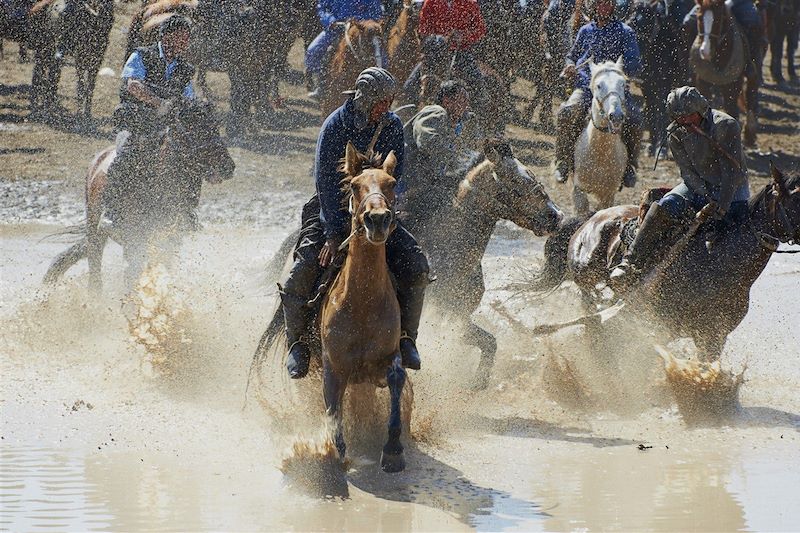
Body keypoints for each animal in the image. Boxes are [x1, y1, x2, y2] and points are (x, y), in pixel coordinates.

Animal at [42, 102, 234, 294]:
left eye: (215, 125)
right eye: (194, 128)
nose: (228, 166)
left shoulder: (169, 242)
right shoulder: (134, 240)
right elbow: (131, 278)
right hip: (95, 229)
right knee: (95, 273)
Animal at [252, 143, 410, 472]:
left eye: (391, 184)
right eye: (355, 185)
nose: (378, 219)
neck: (362, 302)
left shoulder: (385, 361)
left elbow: (396, 377)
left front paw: (392, 450)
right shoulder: (333, 367)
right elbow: (332, 408)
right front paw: (334, 451)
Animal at [532, 164, 800, 360]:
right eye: (795, 199)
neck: (717, 263)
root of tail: (592, 217)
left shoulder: (713, 338)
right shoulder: (660, 326)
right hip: (586, 278)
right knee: (591, 312)